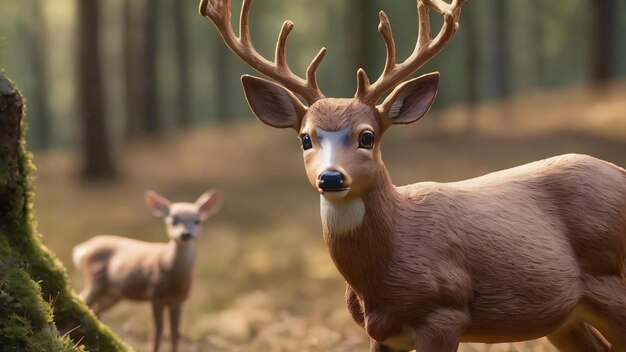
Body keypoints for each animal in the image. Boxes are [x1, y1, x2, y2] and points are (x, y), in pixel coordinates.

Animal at [72, 190, 222, 352]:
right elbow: (158, 330)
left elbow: (175, 332)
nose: (185, 234)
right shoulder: (155, 294)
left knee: (95, 309)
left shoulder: (180, 300)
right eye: (173, 220)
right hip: (95, 278)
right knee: (82, 298)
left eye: (197, 221)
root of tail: (81, 250)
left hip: (112, 293)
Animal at [201, 0, 624, 350]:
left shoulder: (444, 312)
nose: (331, 178)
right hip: (565, 317)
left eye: (367, 136)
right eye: (306, 138)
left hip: (613, 282)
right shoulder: (381, 331)